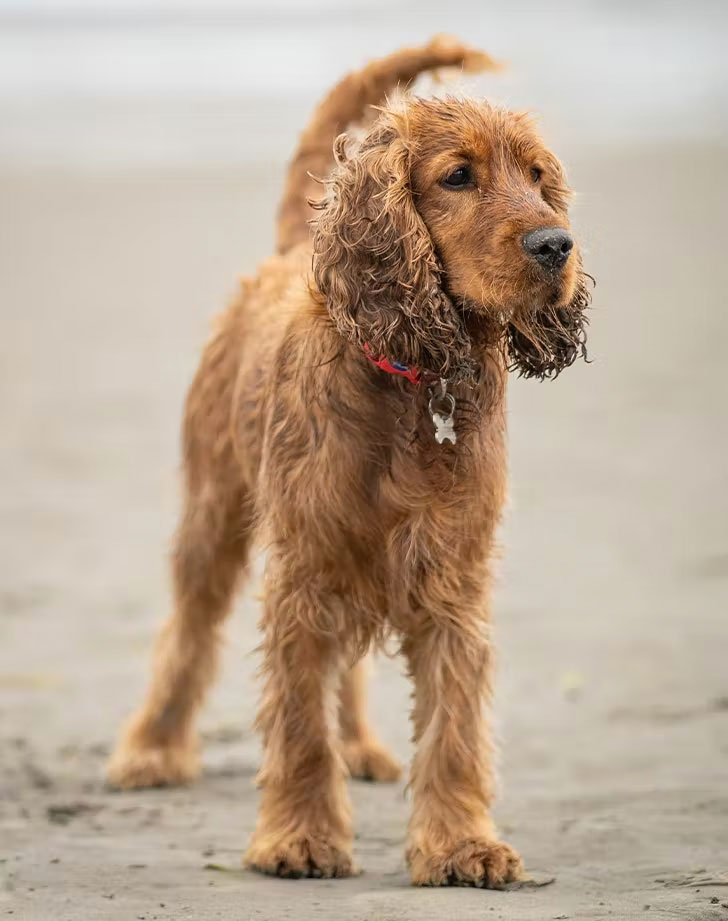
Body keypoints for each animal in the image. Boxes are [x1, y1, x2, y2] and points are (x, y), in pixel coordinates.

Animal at [108, 34, 588, 884]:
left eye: (538, 177)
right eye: (457, 176)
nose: (555, 244)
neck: (414, 380)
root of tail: (291, 247)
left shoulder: (451, 576)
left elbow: (455, 726)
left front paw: (459, 843)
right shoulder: (304, 568)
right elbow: (299, 719)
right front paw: (300, 835)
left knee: (348, 669)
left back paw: (361, 746)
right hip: (213, 514)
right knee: (187, 634)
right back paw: (153, 749)